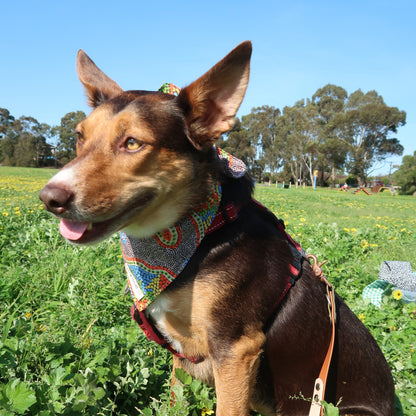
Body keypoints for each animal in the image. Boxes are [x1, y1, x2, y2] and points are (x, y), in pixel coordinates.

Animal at [38, 43, 394, 416]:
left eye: (133, 143)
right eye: (79, 137)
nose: (49, 198)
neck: (198, 237)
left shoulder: (236, 350)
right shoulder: (185, 352)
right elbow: (176, 401)